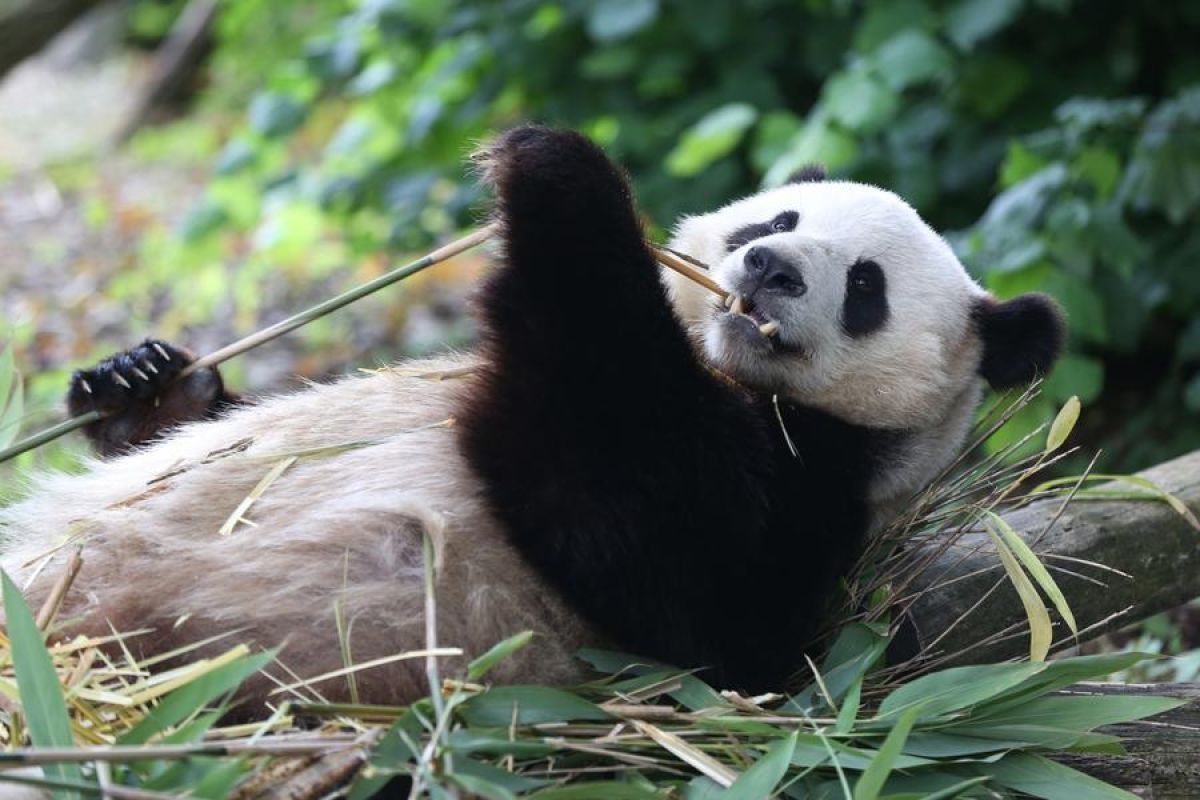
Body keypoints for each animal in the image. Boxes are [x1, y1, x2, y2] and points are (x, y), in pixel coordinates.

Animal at [0, 128, 1060, 710]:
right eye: (779, 221)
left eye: (868, 288)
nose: (770, 271)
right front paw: (146, 385)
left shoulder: (808, 506)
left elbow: (659, 559)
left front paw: (560, 169)